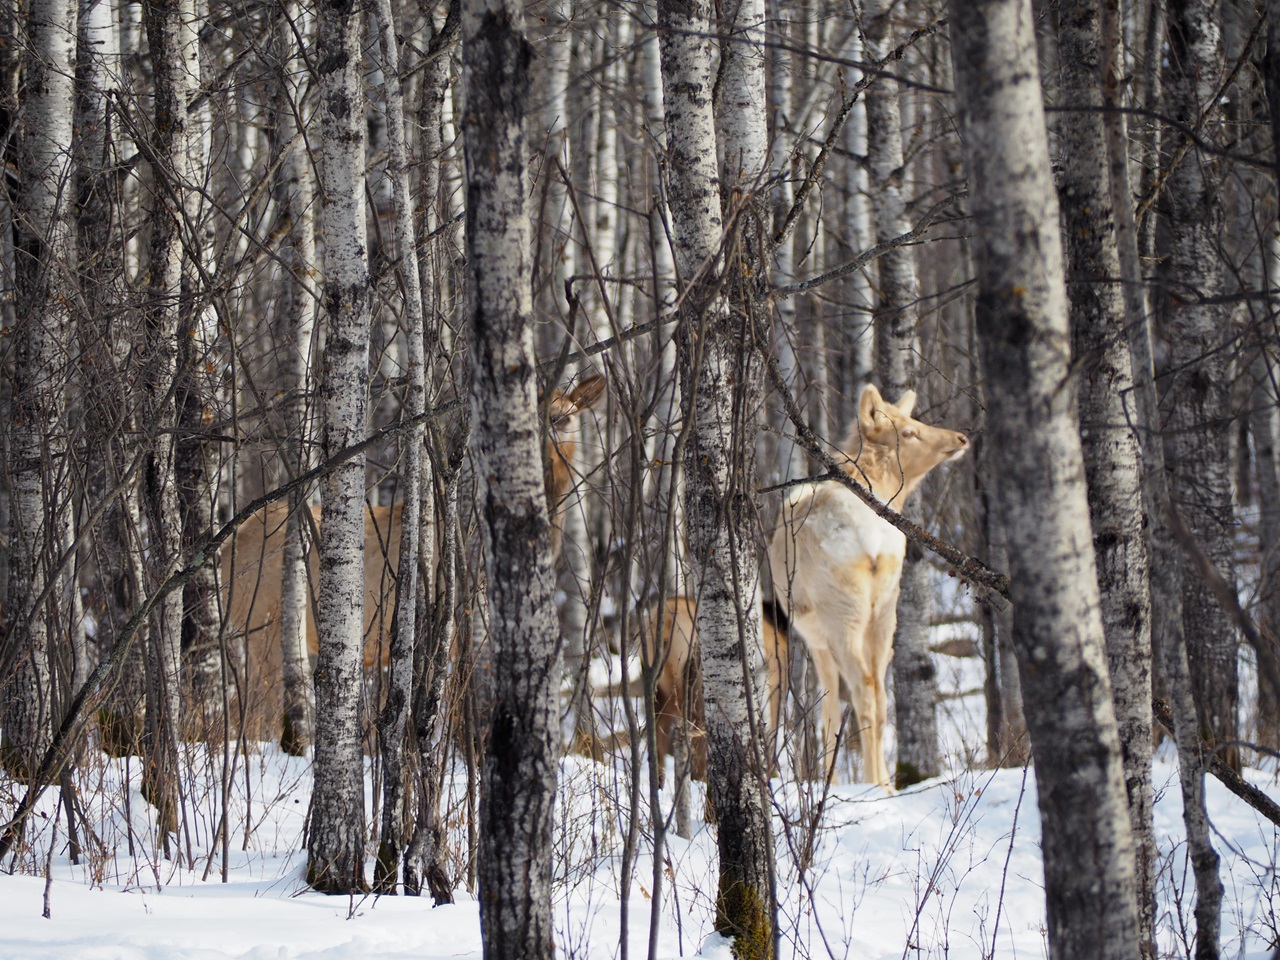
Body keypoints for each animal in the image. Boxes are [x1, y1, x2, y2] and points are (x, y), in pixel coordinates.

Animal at [766, 384, 968, 789]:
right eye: (908, 430)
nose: (960, 438)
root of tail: (871, 543)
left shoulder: (815, 638)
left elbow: (828, 703)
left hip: (841, 611)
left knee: (862, 688)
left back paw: (872, 782)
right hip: (883, 609)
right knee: (879, 691)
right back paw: (886, 783)